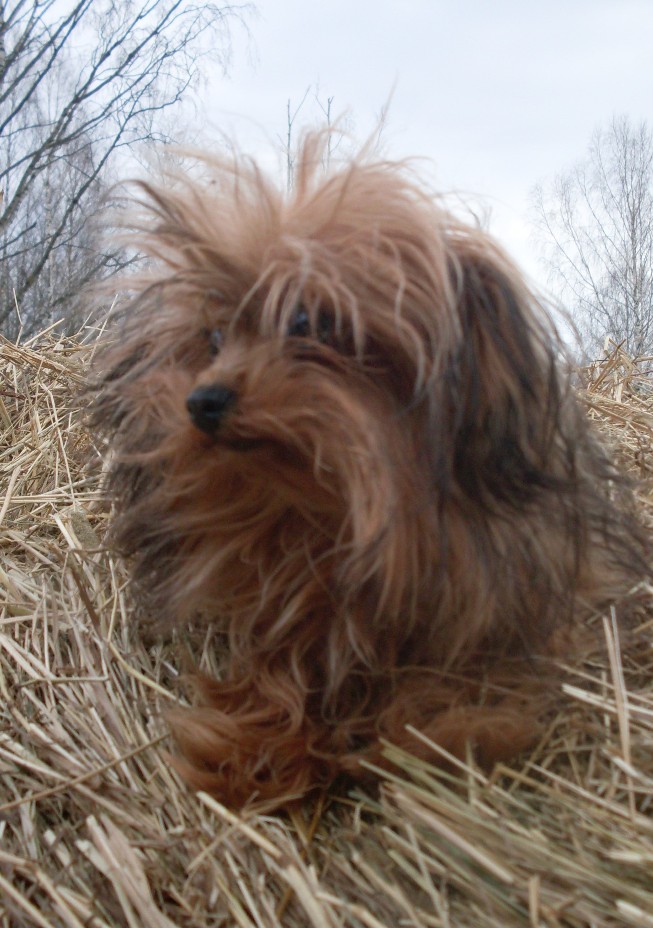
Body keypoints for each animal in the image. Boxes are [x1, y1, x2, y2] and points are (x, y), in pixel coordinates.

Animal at [91, 134, 645, 810]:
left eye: (306, 321)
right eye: (214, 338)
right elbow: (278, 671)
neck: (337, 509)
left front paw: (435, 729)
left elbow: (465, 684)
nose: (203, 401)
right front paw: (258, 745)